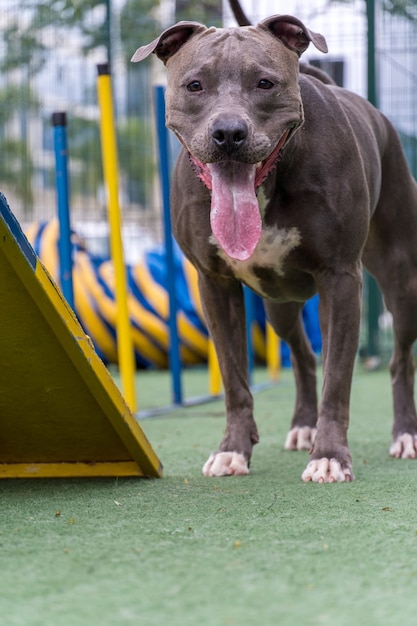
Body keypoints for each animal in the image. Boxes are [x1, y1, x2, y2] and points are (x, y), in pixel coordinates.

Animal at [131, 14, 417, 482]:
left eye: (264, 83)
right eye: (195, 85)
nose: (229, 133)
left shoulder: (341, 279)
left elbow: (338, 378)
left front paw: (330, 455)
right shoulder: (215, 286)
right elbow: (235, 380)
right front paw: (232, 450)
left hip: (400, 278)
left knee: (398, 358)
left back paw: (404, 434)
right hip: (278, 304)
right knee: (301, 353)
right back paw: (303, 426)